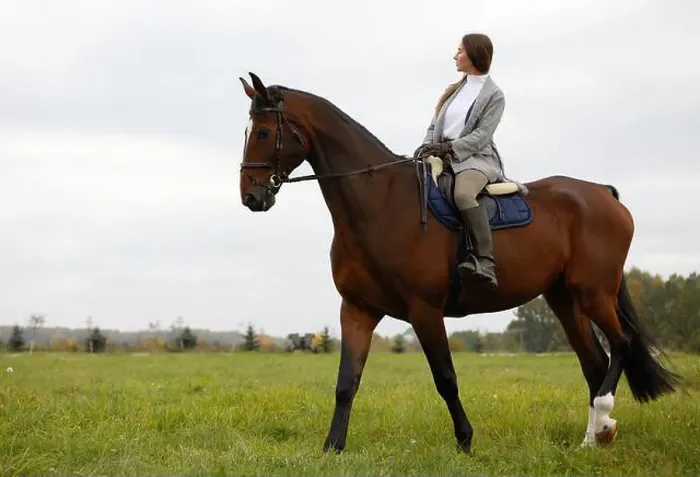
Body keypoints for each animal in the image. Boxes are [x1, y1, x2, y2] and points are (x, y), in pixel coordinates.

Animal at [237, 72, 678, 453]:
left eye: (263, 132)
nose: (250, 197)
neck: (382, 203)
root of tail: (603, 193)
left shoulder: (425, 311)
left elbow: (446, 379)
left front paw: (465, 440)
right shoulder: (357, 309)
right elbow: (347, 382)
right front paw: (333, 447)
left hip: (594, 293)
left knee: (621, 344)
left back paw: (605, 420)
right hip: (564, 299)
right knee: (594, 363)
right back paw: (592, 439)